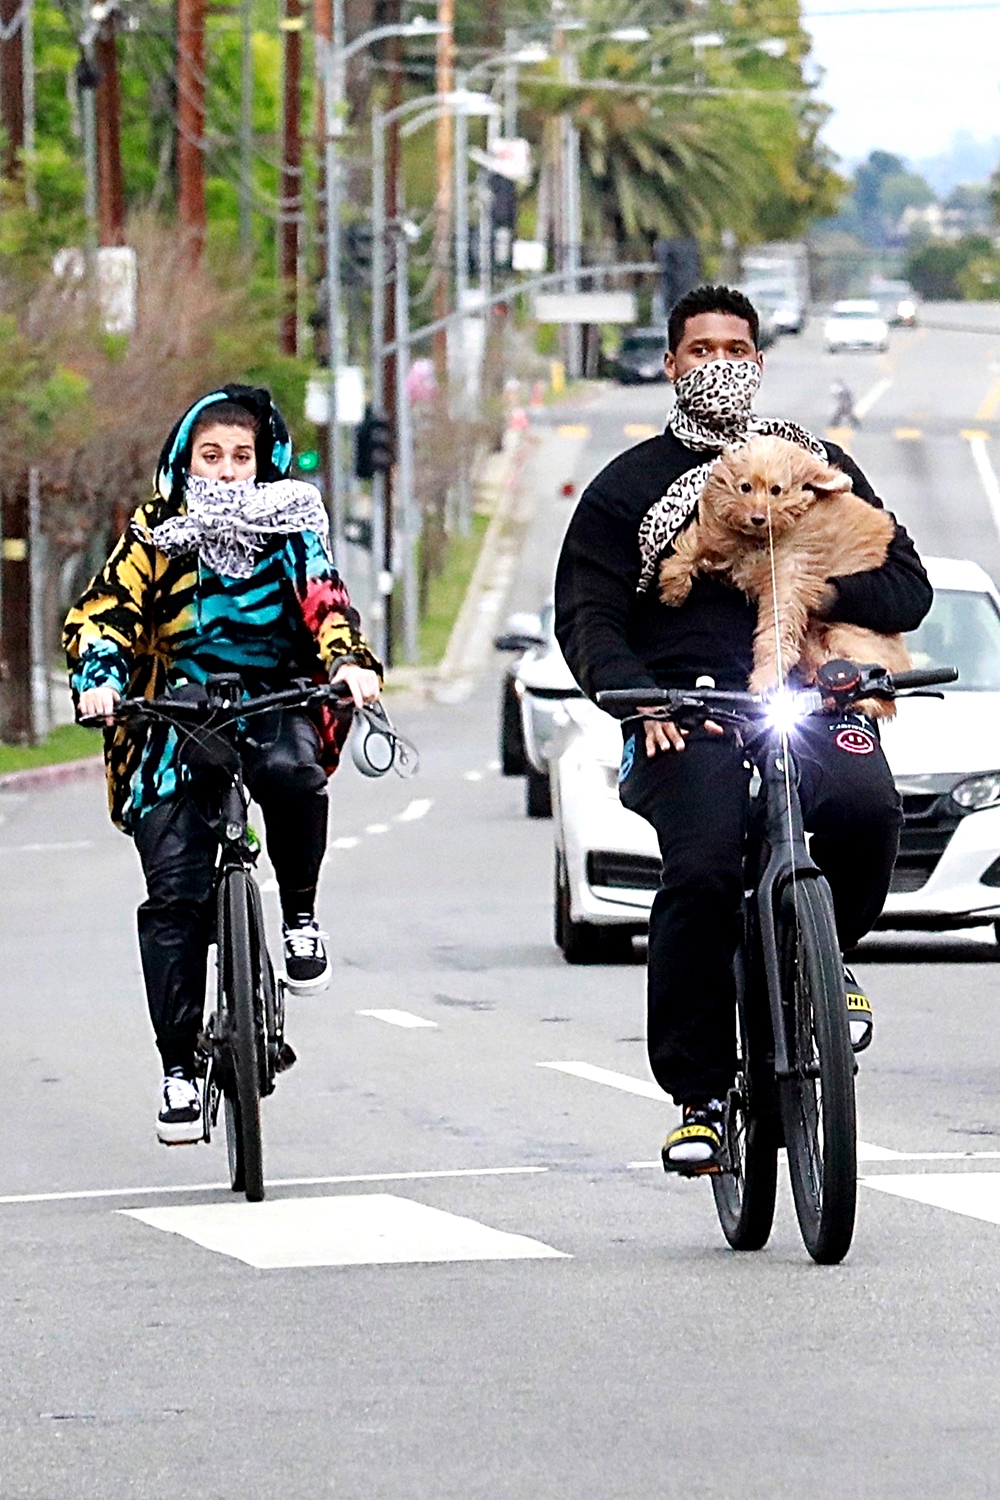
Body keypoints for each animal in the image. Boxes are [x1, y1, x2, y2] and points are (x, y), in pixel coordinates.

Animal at [659, 435, 911, 714]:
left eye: (776, 490)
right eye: (745, 487)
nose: (757, 518)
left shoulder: (789, 577)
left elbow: (776, 630)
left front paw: (765, 678)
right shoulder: (726, 544)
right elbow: (693, 545)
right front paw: (674, 586)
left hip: (846, 636)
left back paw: (860, 699)